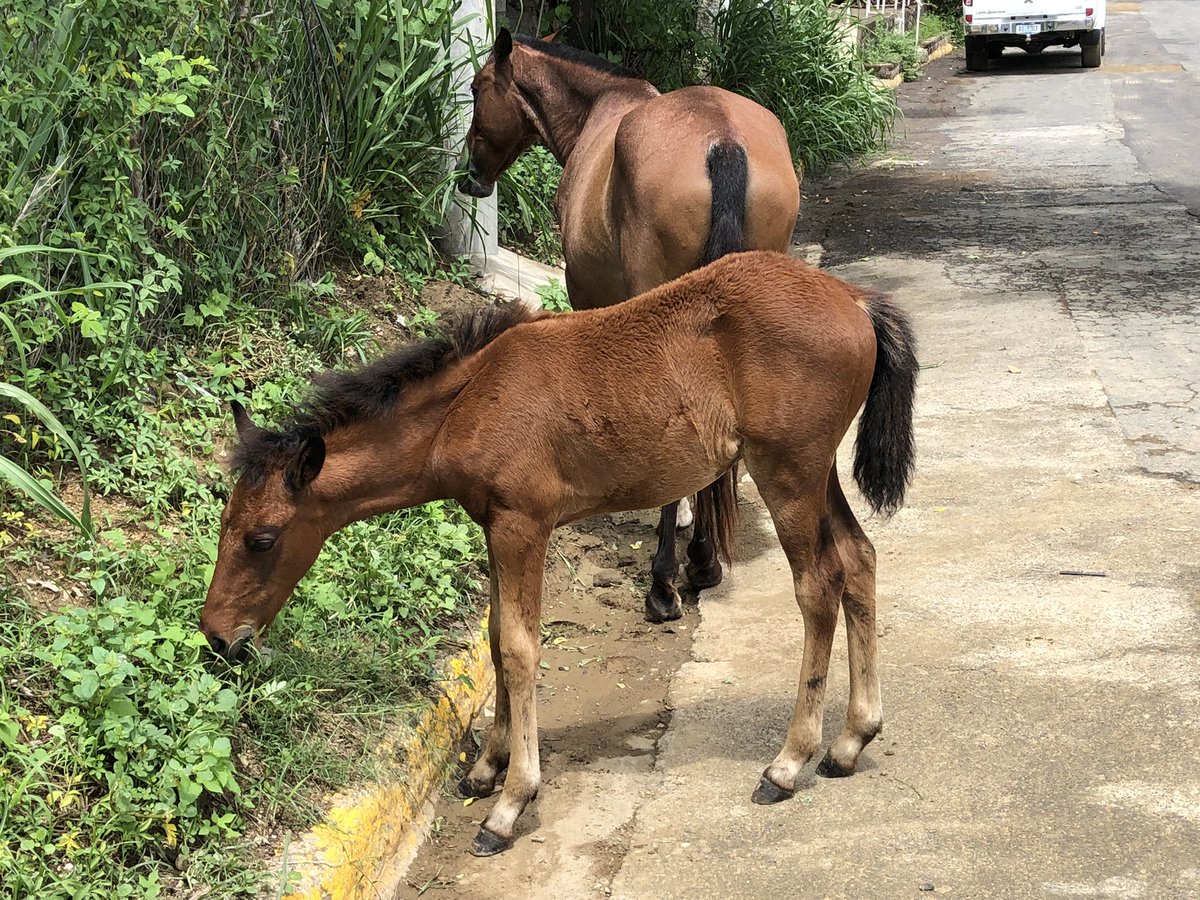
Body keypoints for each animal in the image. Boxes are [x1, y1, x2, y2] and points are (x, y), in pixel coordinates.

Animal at [199, 251, 918, 857]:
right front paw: (485, 768)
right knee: (859, 560)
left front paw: (510, 803)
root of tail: (856, 300)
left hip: (788, 470)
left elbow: (520, 648)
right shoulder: (493, 525)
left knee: (818, 586)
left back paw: (789, 763)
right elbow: (495, 637)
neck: (469, 401)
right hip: (817, 472)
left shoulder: (524, 526)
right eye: (223, 524)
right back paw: (852, 740)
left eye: (262, 539)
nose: (216, 637)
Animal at [460, 28, 801, 625]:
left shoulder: (585, 296)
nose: (469, 176)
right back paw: (702, 558)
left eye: (479, 87)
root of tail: (723, 142)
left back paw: (665, 581)